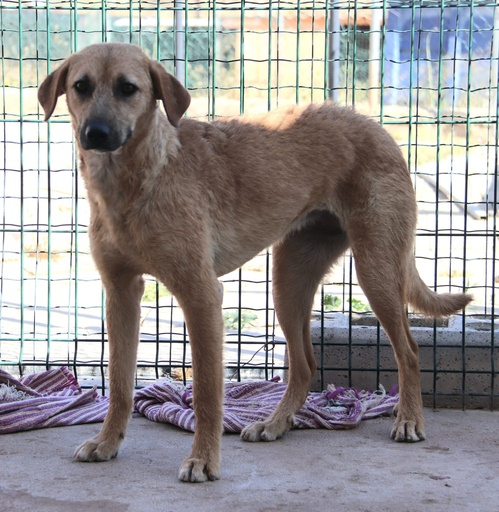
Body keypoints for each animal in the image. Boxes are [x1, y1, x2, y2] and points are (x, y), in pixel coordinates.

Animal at [38, 42, 472, 483]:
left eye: (128, 88)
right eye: (81, 86)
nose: (96, 134)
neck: (140, 179)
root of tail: (377, 127)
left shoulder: (201, 295)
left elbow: (206, 392)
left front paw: (203, 460)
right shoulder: (121, 294)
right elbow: (120, 384)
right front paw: (107, 443)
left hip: (376, 270)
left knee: (409, 350)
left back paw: (409, 420)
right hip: (289, 281)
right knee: (304, 364)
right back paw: (276, 424)